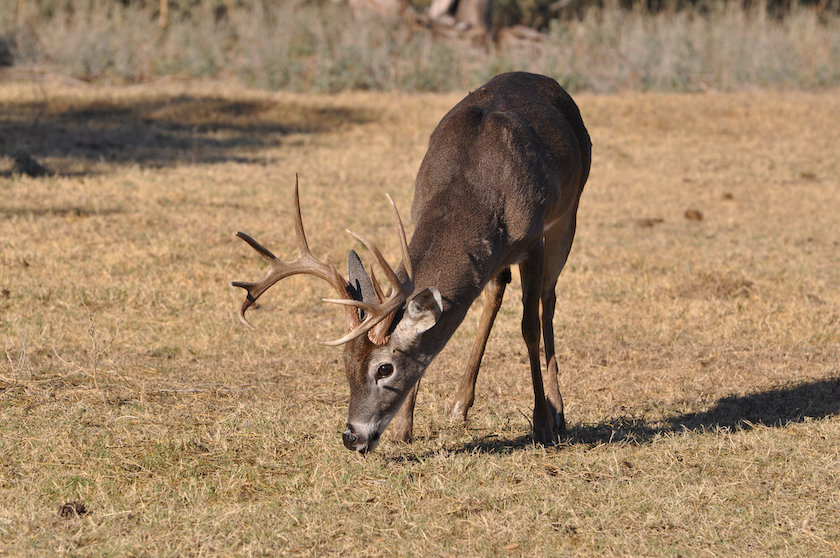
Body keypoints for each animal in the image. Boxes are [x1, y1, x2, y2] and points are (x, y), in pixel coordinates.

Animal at [233, 72, 592, 456]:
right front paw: (404, 427)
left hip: (570, 211)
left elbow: (529, 326)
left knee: (547, 302)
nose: (351, 436)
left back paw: (557, 411)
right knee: (496, 290)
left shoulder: (534, 237)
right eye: (345, 364)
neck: (474, 188)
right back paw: (460, 405)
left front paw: (543, 423)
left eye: (384, 369)